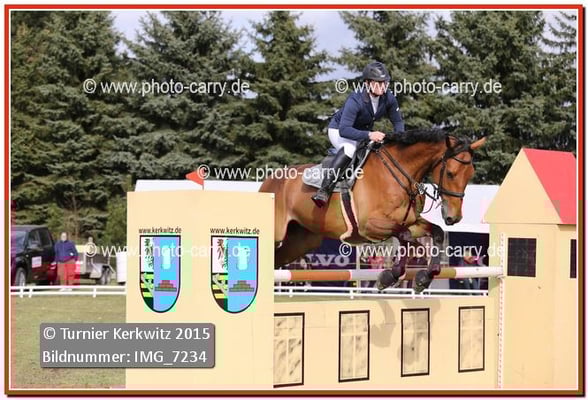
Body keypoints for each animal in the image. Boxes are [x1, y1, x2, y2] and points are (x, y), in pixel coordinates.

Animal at [259, 129, 486, 292]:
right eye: (450, 173)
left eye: (470, 174)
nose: (453, 217)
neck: (399, 175)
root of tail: (270, 180)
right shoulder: (370, 226)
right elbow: (408, 240)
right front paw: (390, 275)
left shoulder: (411, 222)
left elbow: (435, 233)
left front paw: (423, 278)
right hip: (277, 234)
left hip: (302, 241)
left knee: (278, 259)